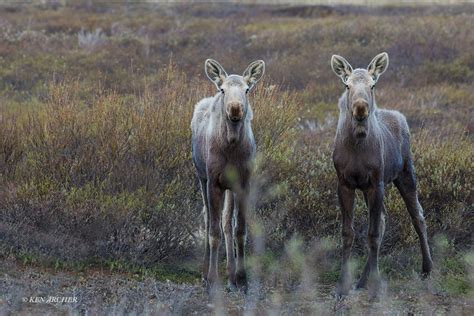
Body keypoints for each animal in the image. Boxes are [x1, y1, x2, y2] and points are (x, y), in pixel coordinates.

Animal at [191, 58, 264, 292]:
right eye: (223, 89)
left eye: (247, 89)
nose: (235, 108)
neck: (231, 145)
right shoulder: (213, 182)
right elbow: (213, 231)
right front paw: (212, 277)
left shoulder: (243, 183)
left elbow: (240, 229)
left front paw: (241, 278)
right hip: (201, 177)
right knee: (208, 220)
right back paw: (205, 272)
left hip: (229, 188)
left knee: (227, 223)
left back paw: (231, 275)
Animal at [330, 51, 434, 296]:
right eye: (347, 85)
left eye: (373, 84)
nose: (360, 108)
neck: (357, 146)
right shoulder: (345, 183)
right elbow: (348, 233)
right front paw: (343, 284)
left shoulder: (375, 183)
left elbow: (373, 234)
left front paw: (376, 285)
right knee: (386, 219)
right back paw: (360, 281)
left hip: (406, 172)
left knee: (418, 215)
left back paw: (427, 267)